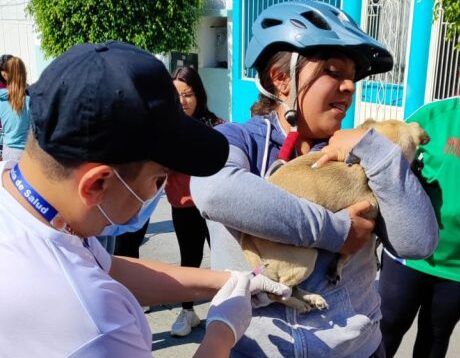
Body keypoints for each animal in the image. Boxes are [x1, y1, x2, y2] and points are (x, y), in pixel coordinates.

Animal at [239, 119, 430, 312]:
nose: (420, 167)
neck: (365, 164)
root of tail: (247, 239)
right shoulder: (368, 217)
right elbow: (345, 255)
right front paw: (336, 269)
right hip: (307, 256)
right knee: (277, 292)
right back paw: (300, 305)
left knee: (291, 289)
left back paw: (312, 298)